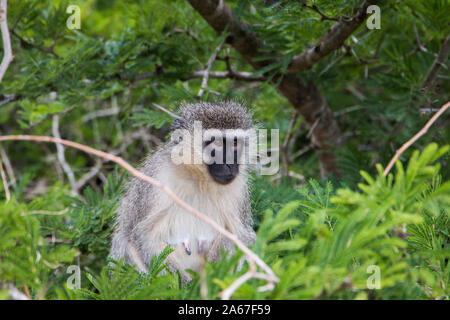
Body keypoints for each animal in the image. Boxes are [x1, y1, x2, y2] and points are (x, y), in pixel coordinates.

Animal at [110, 101, 256, 282]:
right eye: (216, 143)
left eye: (235, 144)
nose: (230, 165)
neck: (199, 178)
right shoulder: (158, 176)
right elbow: (144, 234)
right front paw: (186, 284)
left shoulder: (239, 188)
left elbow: (241, 236)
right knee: (122, 241)